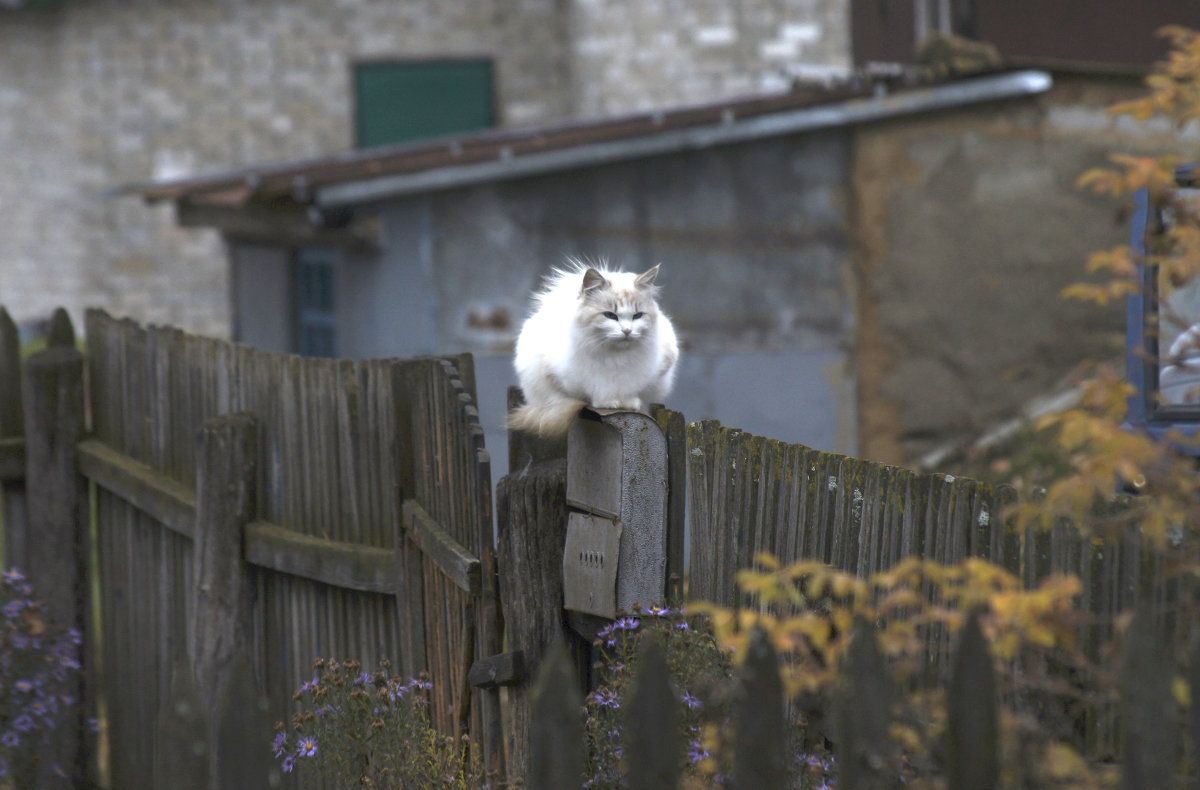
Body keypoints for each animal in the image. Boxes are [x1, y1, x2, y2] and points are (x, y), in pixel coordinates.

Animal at [506, 258, 676, 434]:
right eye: (610, 315)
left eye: (637, 316)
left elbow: (631, 392)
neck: (616, 356)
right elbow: (588, 395)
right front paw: (608, 403)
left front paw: (628, 403)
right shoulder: (557, 376)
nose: (627, 331)